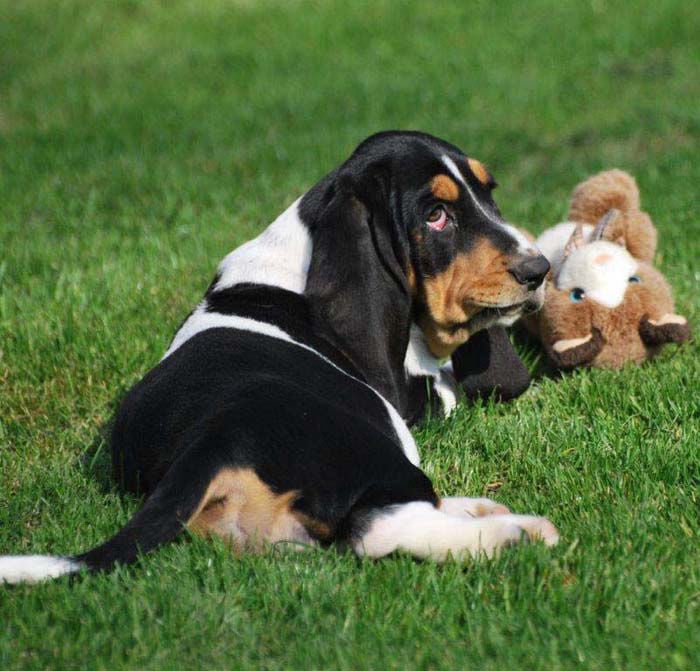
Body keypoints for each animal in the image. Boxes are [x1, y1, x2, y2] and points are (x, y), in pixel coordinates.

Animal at [0, 131, 556, 584]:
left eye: (488, 192)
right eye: (434, 215)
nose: (539, 270)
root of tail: (211, 441)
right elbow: (445, 385)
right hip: (374, 450)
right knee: (380, 527)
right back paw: (515, 533)